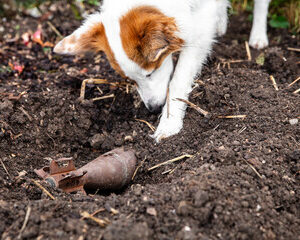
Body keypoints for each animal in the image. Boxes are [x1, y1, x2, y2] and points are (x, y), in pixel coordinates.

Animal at [54, 0, 272, 142]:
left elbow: (178, 80)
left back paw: (258, 36)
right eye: (131, 80)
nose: (153, 108)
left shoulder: (200, 29)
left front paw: (169, 122)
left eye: (150, 73)